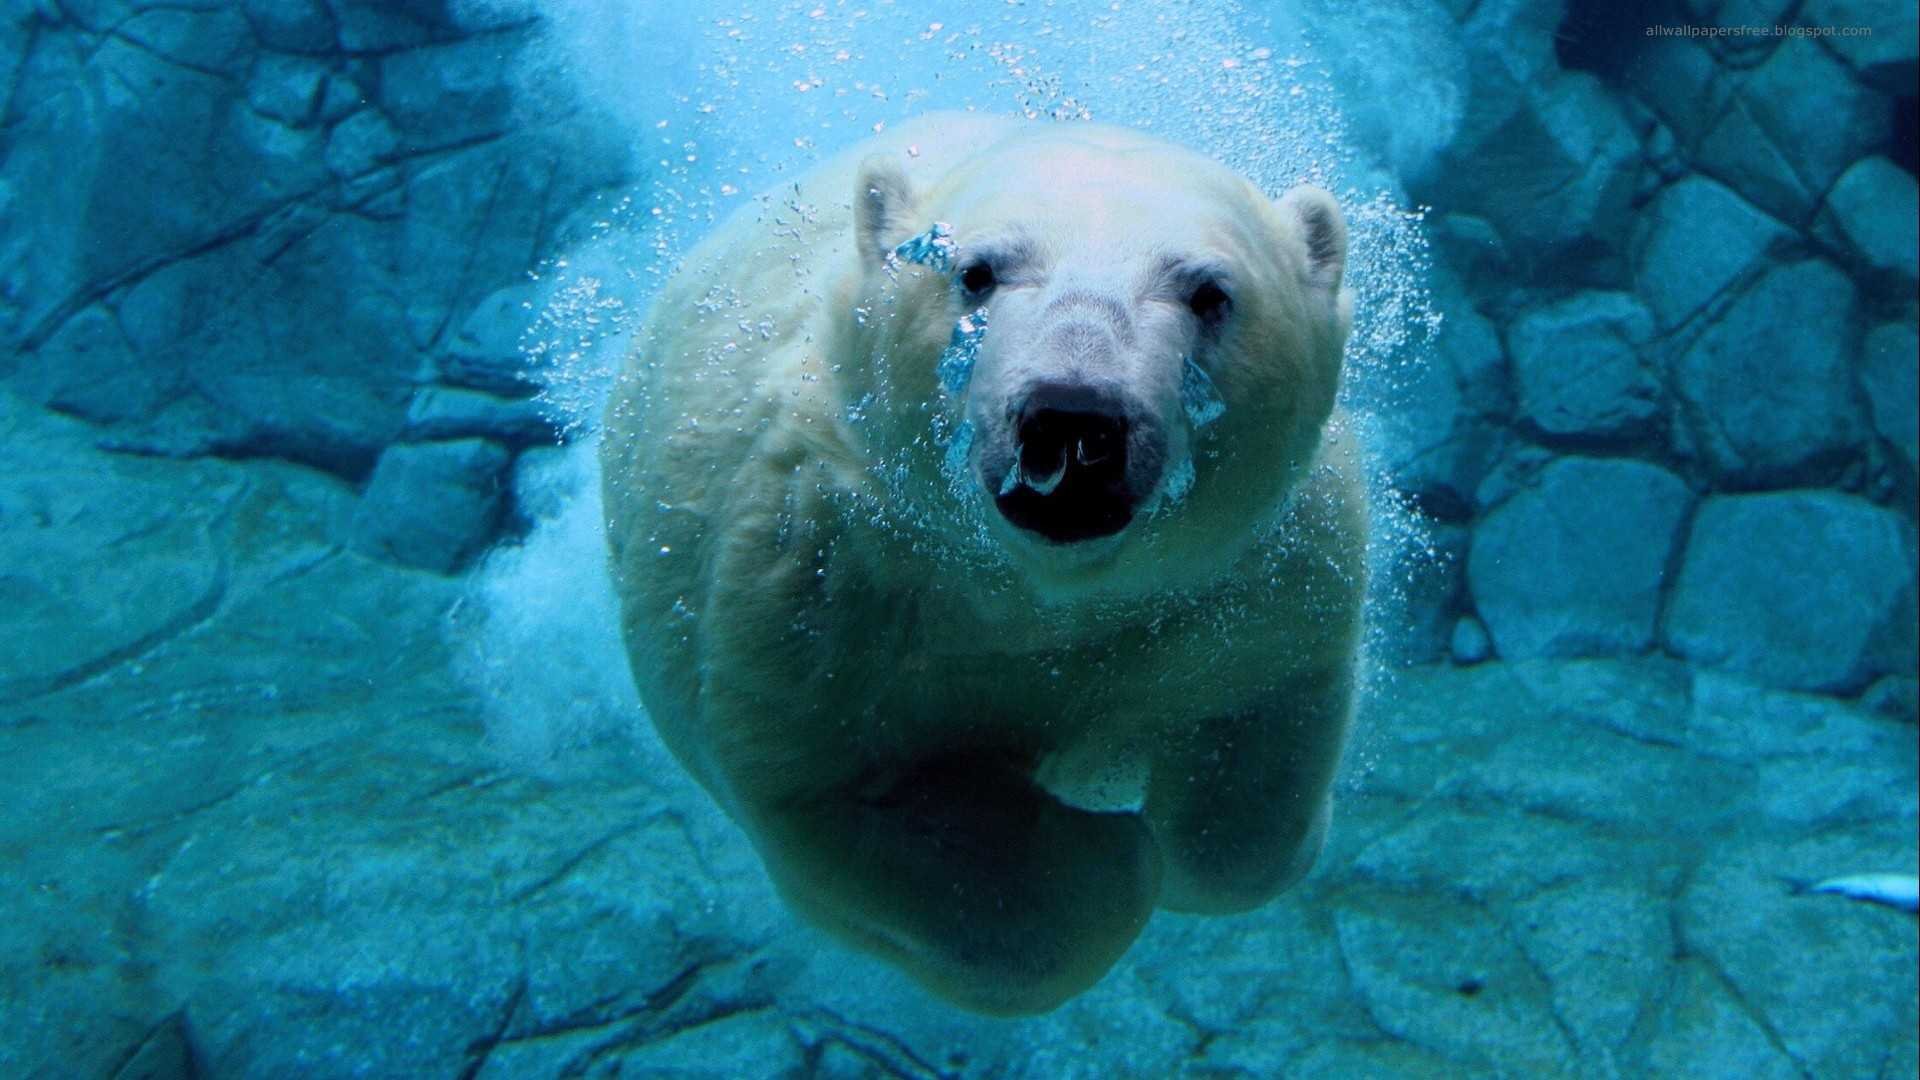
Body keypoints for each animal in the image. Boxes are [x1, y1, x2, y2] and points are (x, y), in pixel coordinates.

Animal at [599, 113, 1367, 1014]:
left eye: (1210, 292)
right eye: (975, 272)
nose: (1074, 418)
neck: (1038, 593)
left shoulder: (1252, 576)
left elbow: (1258, 737)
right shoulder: (820, 585)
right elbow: (852, 800)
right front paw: (1108, 856)